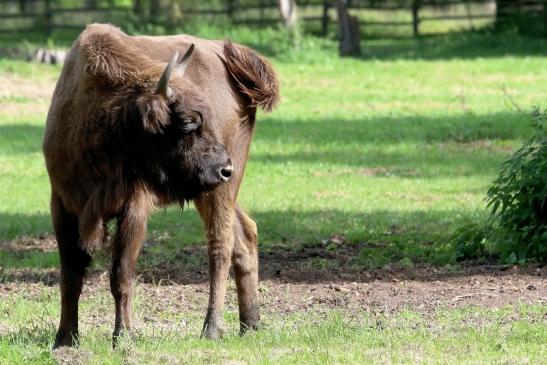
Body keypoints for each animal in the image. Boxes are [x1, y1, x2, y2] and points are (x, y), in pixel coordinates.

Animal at [43, 23, 280, 346]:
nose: (224, 169)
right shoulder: (63, 204)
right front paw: (65, 339)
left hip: (217, 192)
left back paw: (212, 328)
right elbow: (70, 276)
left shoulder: (134, 207)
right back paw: (250, 324)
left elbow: (121, 275)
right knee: (245, 234)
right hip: (211, 190)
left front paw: (123, 337)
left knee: (220, 246)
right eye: (188, 121)